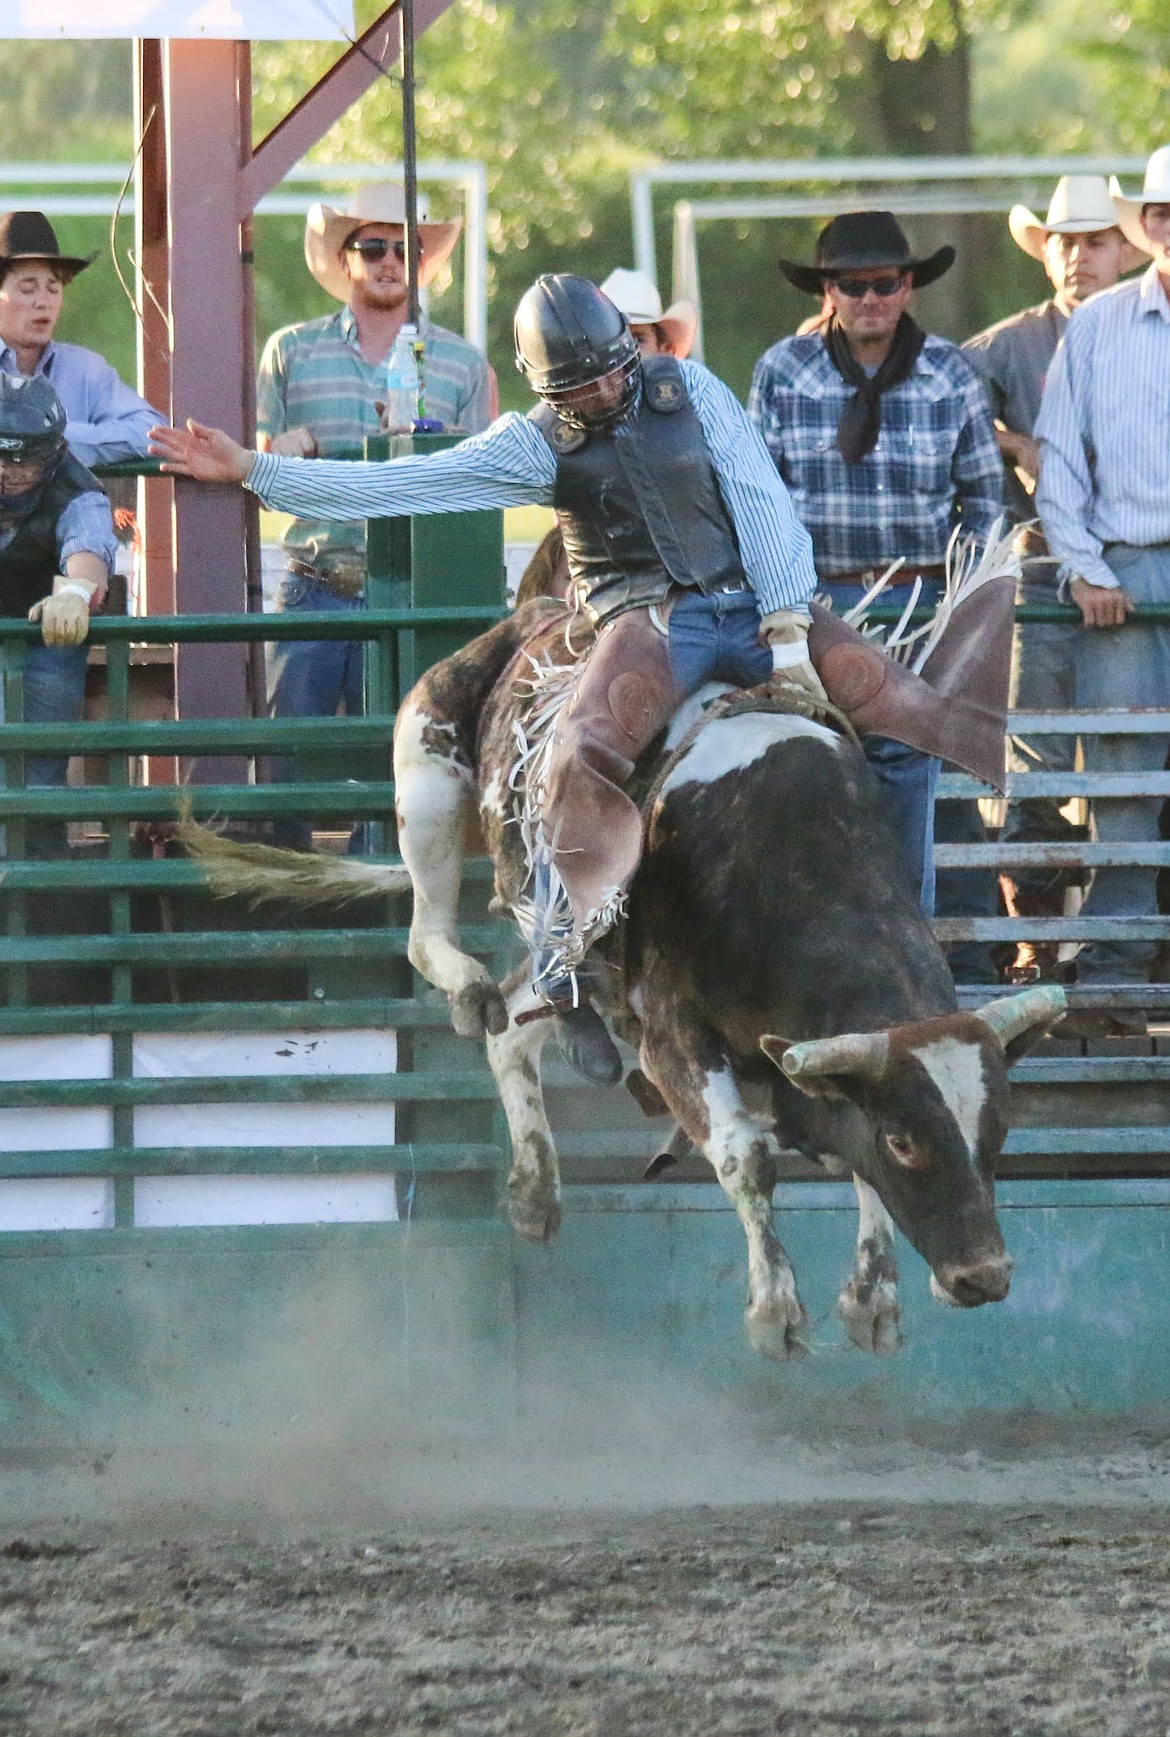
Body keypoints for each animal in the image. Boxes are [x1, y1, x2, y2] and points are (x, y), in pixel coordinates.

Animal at [186, 597, 1062, 1354]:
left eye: (998, 1129)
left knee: (516, 1026)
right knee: (432, 939)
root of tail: (535, 614)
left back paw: (535, 1188)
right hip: (430, 780)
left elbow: (848, 1156)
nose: (984, 1276)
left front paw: (872, 1299)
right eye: (908, 1139)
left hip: (564, 942)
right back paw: (466, 985)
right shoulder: (674, 1035)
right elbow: (747, 1157)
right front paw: (775, 1310)